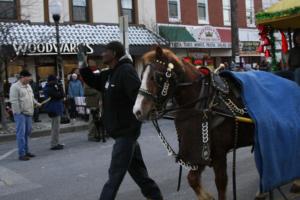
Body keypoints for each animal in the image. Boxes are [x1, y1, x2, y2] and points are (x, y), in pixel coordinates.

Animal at [133, 46, 255, 199]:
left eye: (158, 77)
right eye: (141, 75)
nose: (137, 111)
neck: (204, 102)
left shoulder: (219, 153)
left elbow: (221, 184)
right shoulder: (201, 150)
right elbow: (192, 179)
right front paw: (208, 197)